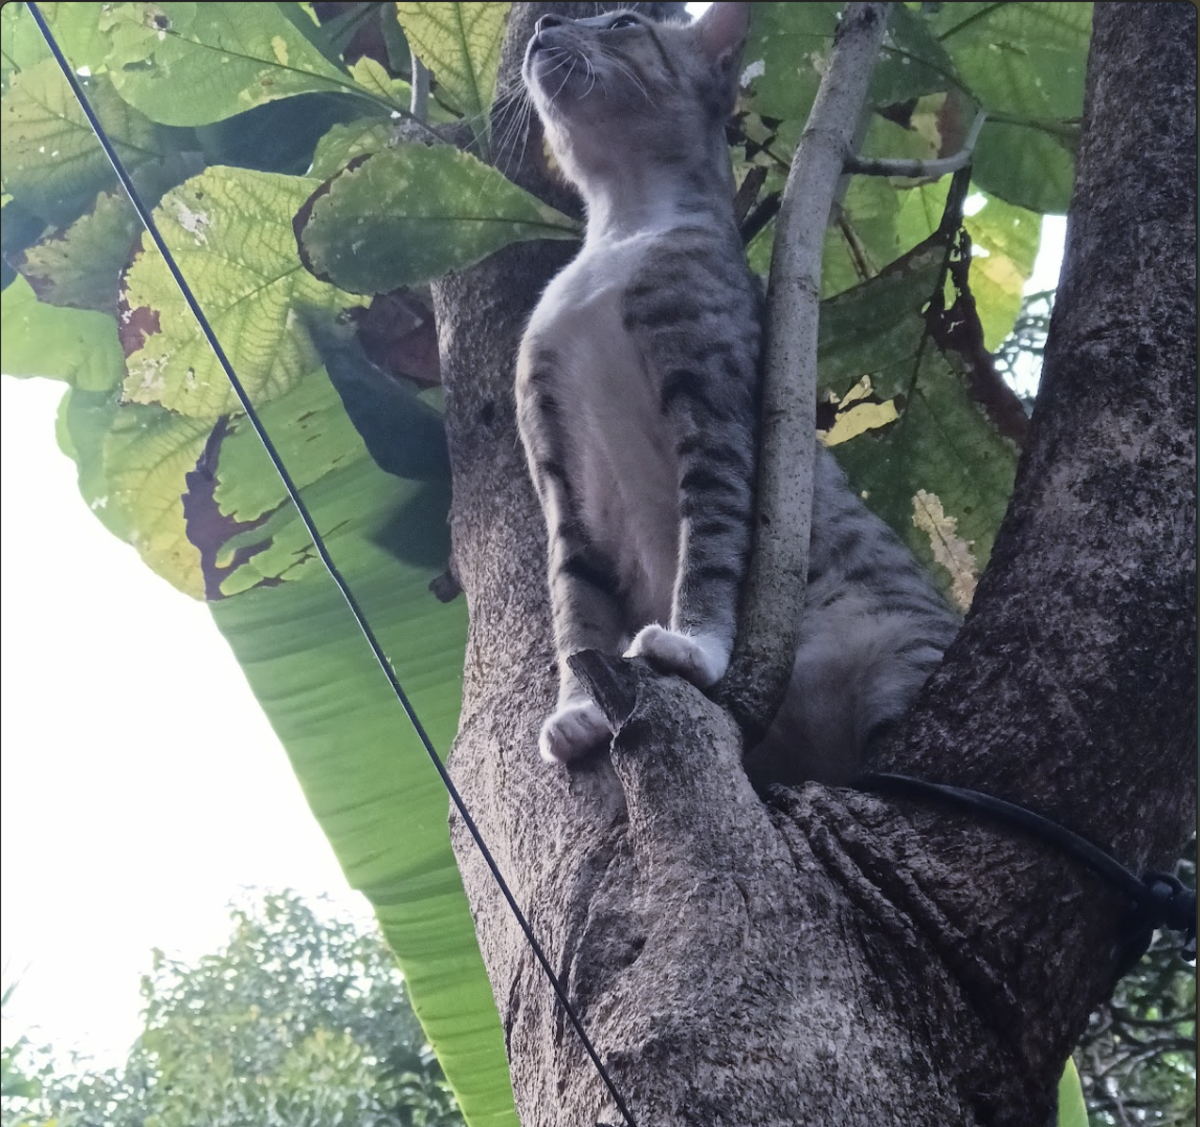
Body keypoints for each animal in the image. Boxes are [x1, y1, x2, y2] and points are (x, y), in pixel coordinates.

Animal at [513, 4, 955, 782]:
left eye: (623, 20)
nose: (544, 24)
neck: (620, 227)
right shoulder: (551, 455)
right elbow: (574, 599)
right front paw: (578, 710)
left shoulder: (714, 401)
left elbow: (712, 545)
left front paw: (693, 647)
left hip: (905, 650)